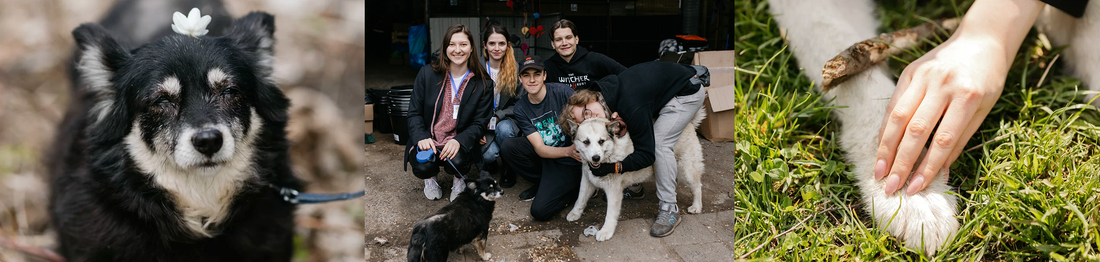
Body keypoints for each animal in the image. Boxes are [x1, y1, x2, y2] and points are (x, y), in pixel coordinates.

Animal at [563, 106, 708, 241]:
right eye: (586, 142)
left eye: (601, 141)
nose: (596, 158)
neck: (610, 153)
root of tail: (690, 123)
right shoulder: (587, 181)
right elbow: (580, 199)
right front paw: (575, 213)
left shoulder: (613, 191)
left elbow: (610, 214)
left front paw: (606, 231)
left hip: (686, 171)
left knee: (697, 187)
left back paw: (696, 206)